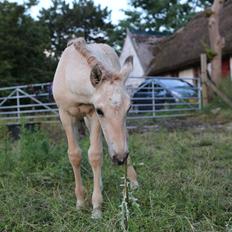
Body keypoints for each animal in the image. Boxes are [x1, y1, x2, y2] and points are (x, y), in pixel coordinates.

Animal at [53, 37, 138, 218]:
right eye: (100, 110)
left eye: (129, 107)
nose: (120, 158)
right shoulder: (66, 114)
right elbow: (74, 154)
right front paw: (80, 202)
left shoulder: (92, 114)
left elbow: (95, 155)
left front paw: (96, 207)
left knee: (122, 137)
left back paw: (133, 181)